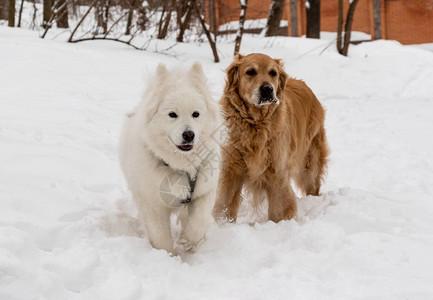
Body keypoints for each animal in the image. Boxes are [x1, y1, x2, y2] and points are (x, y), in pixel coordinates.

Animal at [118, 62, 219, 253]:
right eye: (172, 114)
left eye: (196, 114)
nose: (189, 135)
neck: (180, 168)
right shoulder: (153, 205)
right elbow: (161, 237)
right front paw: (166, 256)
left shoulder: (205, 191)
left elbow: (199, 220)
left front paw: (189, 241)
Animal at [212, 53, 328, 223]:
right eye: (251, 72)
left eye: (273, 73)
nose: (267, 89)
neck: (255, 123)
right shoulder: (232, 168)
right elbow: (224, 204)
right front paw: (221, 224)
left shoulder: (277, 171)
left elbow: (279, 208)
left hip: (310, 163)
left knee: (313, 185)